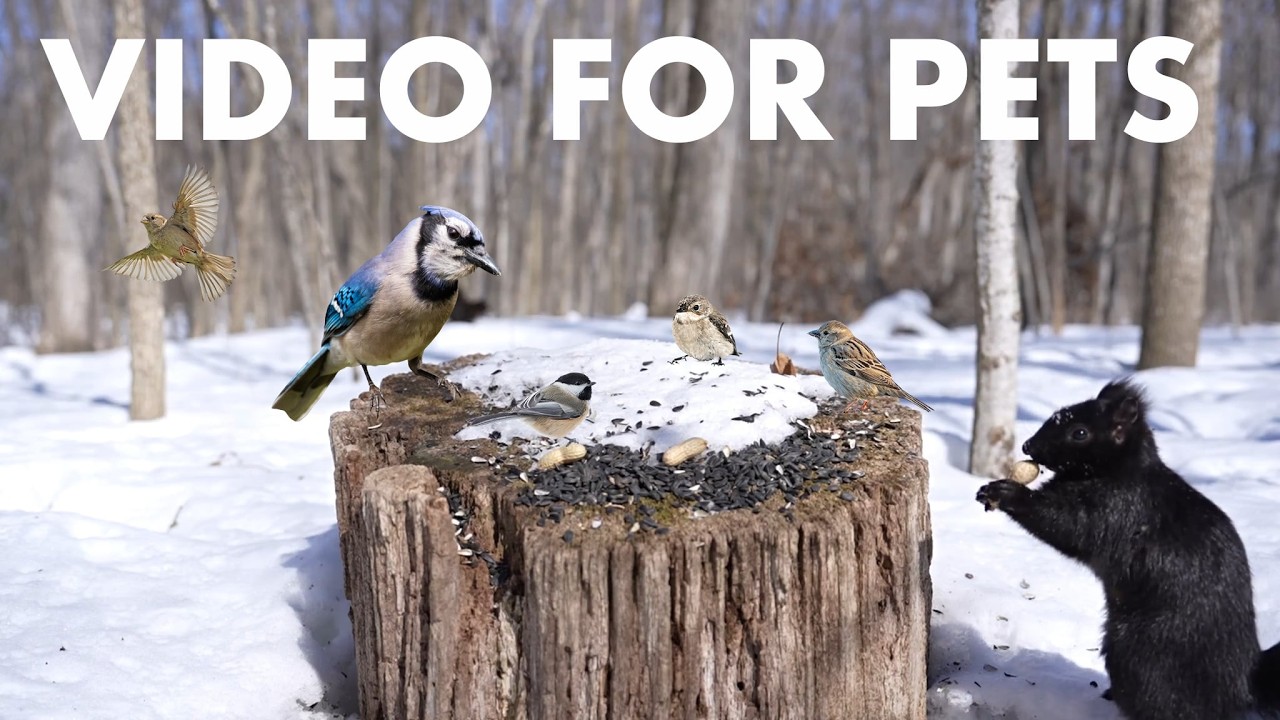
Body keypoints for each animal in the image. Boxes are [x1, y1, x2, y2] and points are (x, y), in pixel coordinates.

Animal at [976, 379, 1280, 720]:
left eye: (1080, 432)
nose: (1029, 446)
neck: (1119, 471)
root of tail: (1241, 684)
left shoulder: (1117, 508)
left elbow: (1068, 524)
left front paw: (1008, 493)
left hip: (1141, 652)